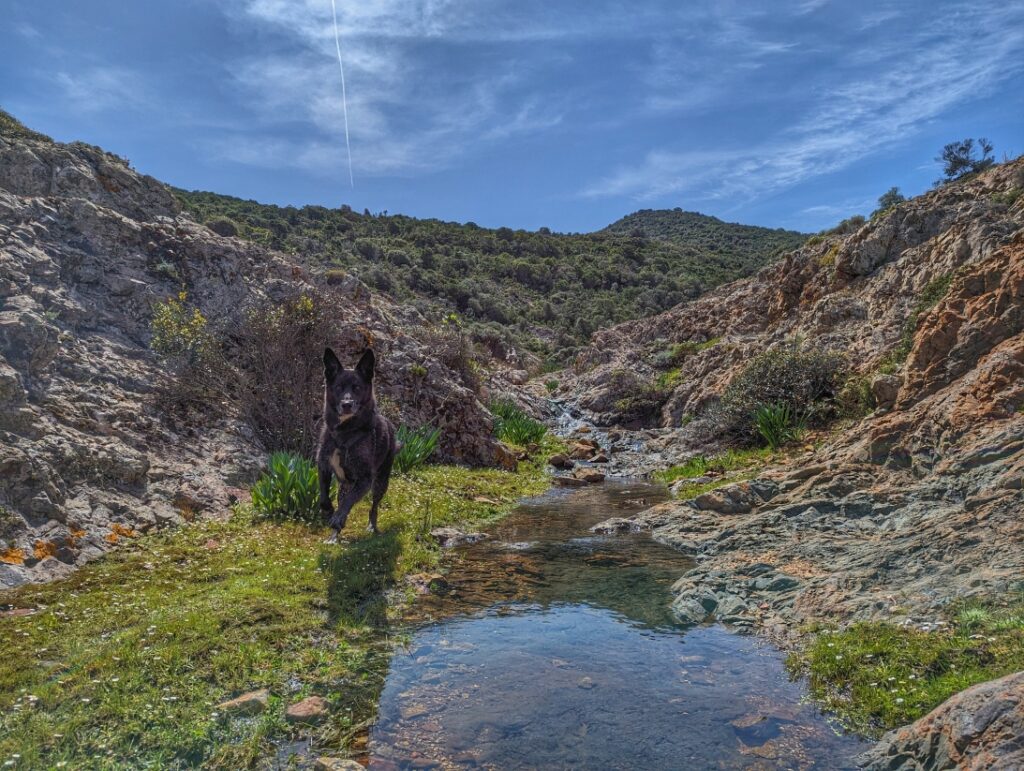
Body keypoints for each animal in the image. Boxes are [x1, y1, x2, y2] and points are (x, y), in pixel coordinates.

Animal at [317, 346, 397, 536]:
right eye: (338, 387)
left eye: (357, 388)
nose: (346, 404)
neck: (343, 434)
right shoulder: (323, 467)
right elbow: (324, 495)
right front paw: (328, 511)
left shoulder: (365, 480)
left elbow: (348, 502)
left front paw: (338, 517)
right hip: (344, 485)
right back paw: (334, 536)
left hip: (380, 481)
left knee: (373, 506)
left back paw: (370, 526)